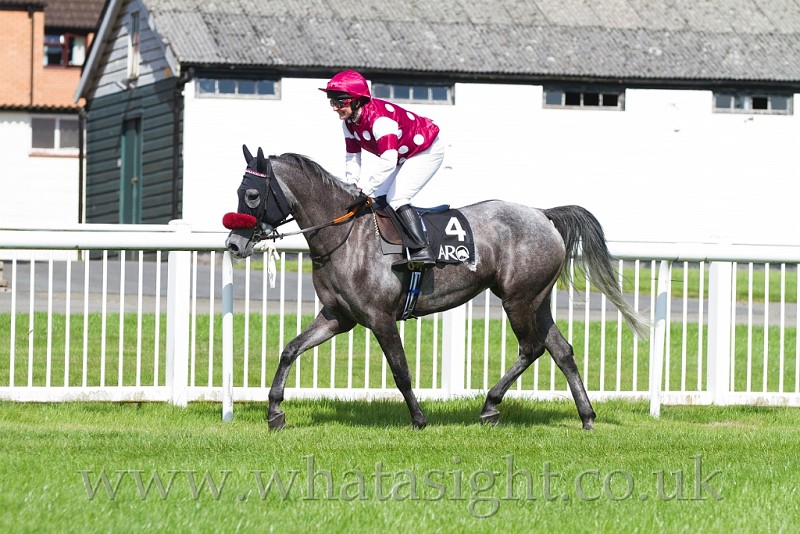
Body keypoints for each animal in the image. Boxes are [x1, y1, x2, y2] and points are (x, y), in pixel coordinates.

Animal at [224, 146, 648, 430]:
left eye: (252, 195)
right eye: (239, 192)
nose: (233, 244)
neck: (345, 236)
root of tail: (542, 214)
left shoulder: (380, 318)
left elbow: (400, 371)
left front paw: (418, 417)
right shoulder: (337, 318)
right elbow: (289, 350)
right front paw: (274, 411)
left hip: (518, 299)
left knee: (532, 348)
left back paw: (491, 405)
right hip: (536, 300)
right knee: (561, 350)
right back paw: (586, 415)